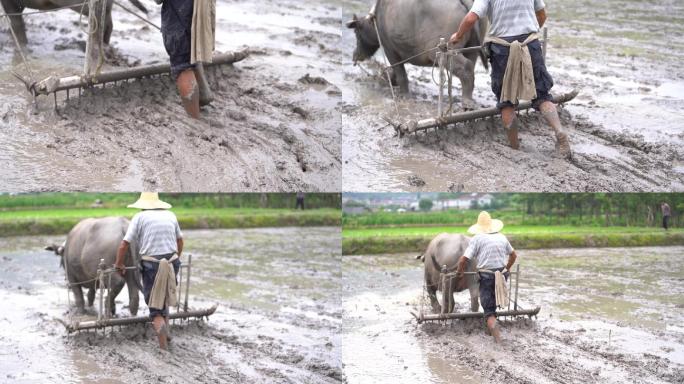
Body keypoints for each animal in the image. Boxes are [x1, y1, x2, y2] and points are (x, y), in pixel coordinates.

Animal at [348, 0, 486, 109]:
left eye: (356, 32)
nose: (355, 55)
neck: (377, 19)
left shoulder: (390, 50)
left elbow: (400, 73)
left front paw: (404, 94)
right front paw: (390, 80)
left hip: (444, 52)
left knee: (466, 67)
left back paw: (467, 102)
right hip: (471, 49)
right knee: (471, 66)